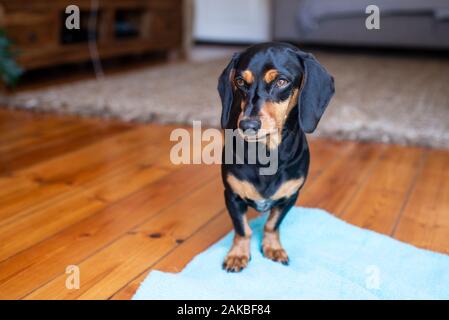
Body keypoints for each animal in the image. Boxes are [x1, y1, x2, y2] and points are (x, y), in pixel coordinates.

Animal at [217, 42, 332, 272]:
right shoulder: (232, 196)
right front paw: (238, 254)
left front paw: (273, 247)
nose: (247, 125)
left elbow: (272, 224)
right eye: (240, 81)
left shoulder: (289, 197)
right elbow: (243, 229)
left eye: (281, 81)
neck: (266, 153)